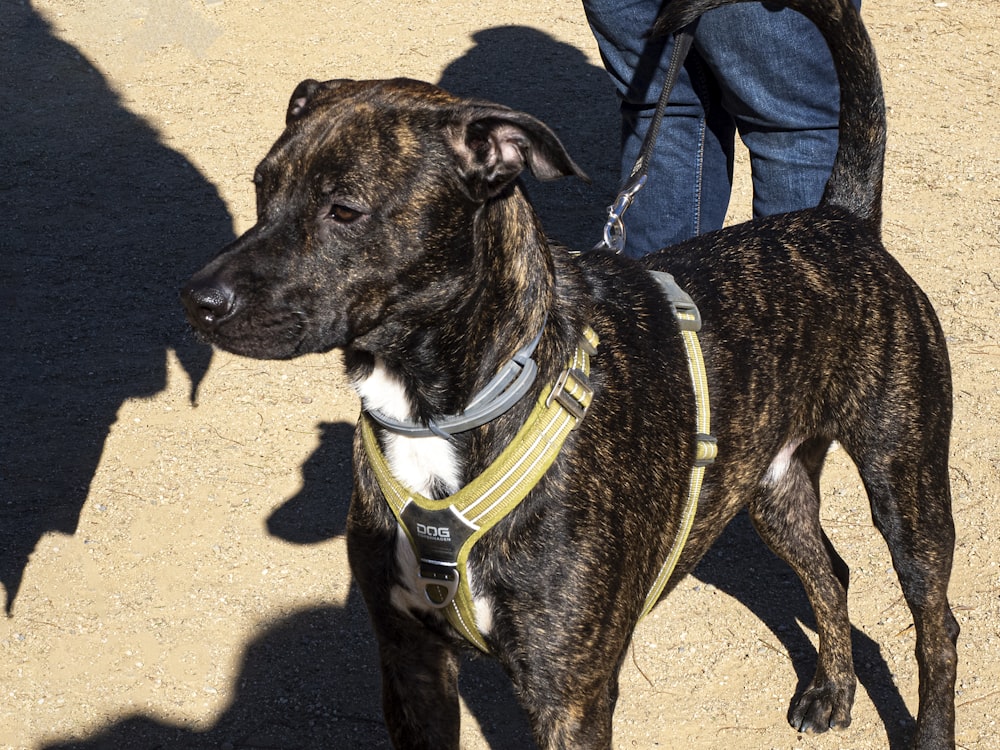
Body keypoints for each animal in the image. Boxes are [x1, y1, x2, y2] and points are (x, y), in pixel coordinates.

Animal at [182, 0, 960, 748]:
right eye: (261, 187)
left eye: (344, 209)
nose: (197, 299)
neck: (453, 407)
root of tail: (840, 218)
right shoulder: (411, 665)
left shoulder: (568, 695)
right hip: (772, 486)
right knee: (831, 572)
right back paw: (833, 690)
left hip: (906, 486)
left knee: (937, 626)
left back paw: (929, 730)